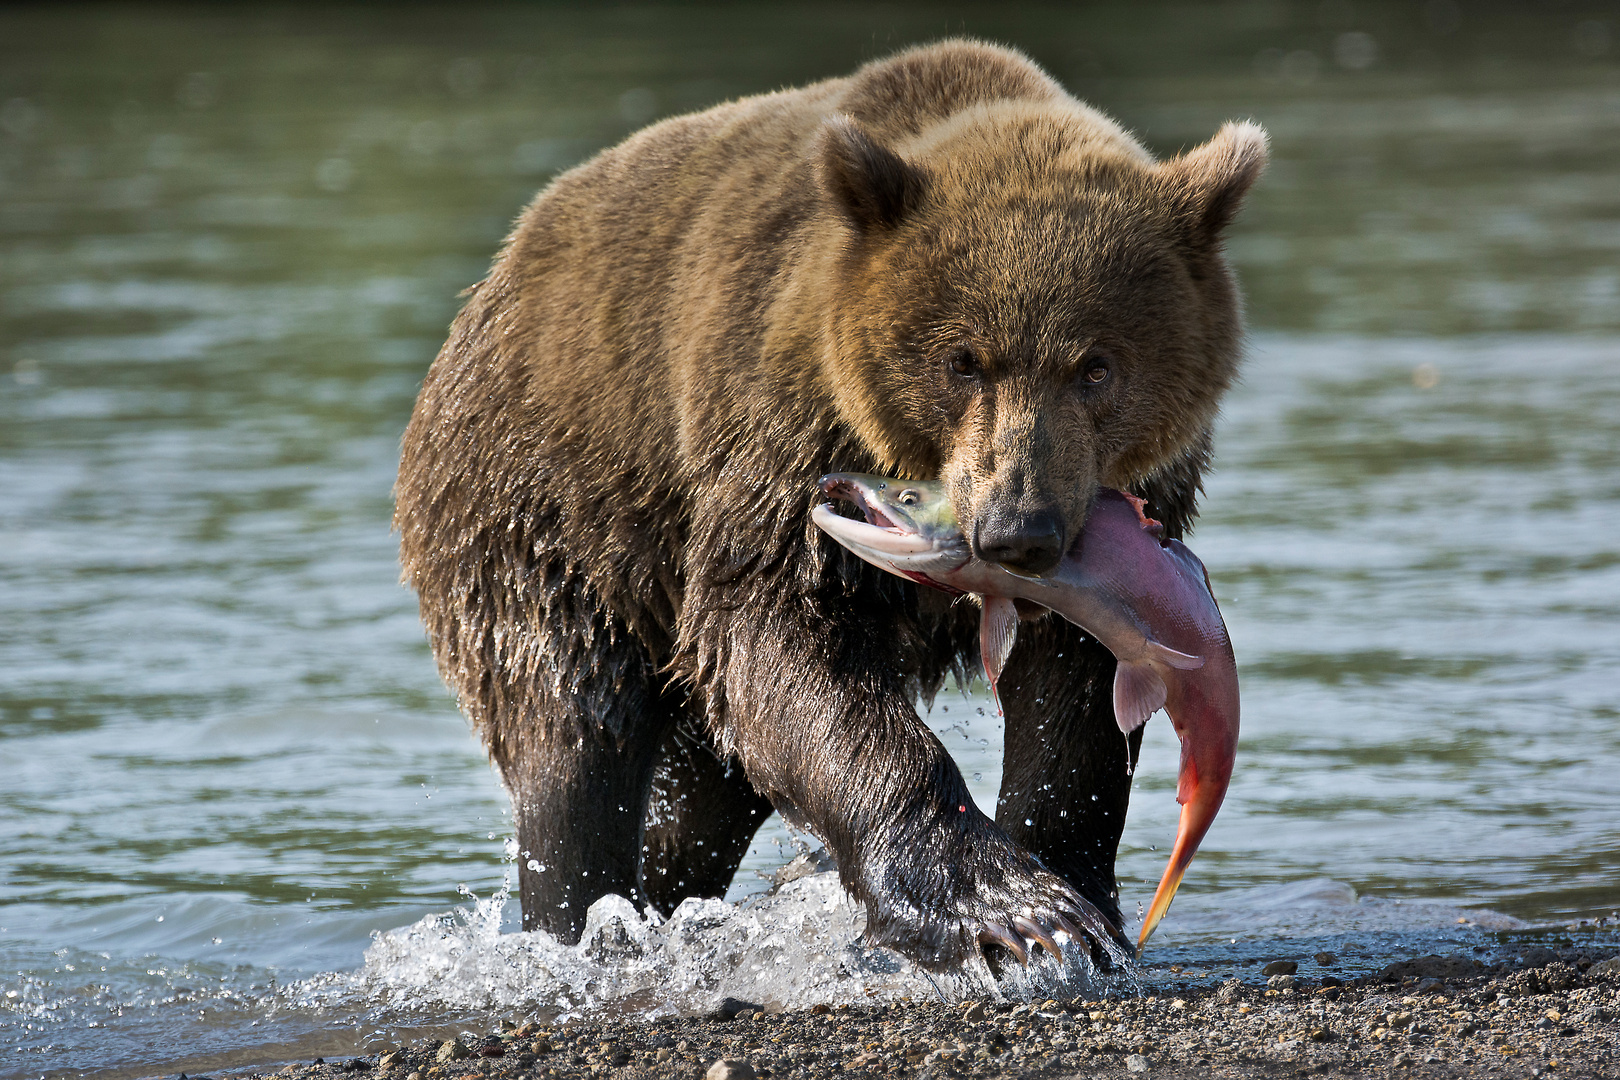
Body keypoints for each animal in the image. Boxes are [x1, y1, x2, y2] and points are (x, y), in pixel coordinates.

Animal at [392, 38, 1263, 965]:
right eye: (963, 360)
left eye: (1096, 366)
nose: (1017, 533)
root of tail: (495, 281)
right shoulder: (778, 442)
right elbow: (783, 639)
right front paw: (1006, 908)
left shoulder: (1129, 533)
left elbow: (1077, 691)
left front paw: (1072, 896)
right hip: (546, 508)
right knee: (575, 738)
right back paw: (580, 925)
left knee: (704, 783)